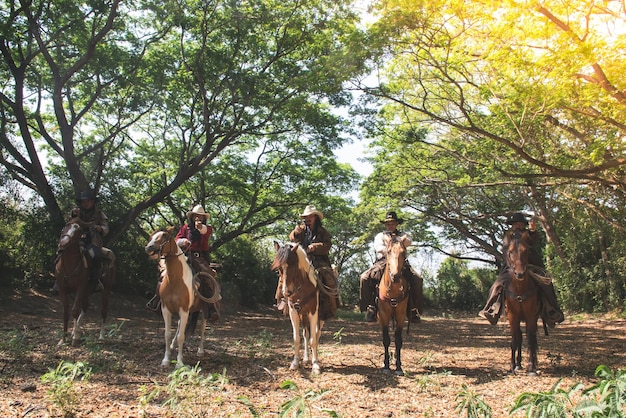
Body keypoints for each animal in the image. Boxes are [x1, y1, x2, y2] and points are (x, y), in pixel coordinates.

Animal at [144, 227, 219, 368]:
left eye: (164, 236)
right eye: (152, 236)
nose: (148, 247)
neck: (176, 279)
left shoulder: (184, 310)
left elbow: (181, 336)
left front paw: (179, 362)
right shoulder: (166, 309)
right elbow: (167, 334)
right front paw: (166, 360)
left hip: (203, 310)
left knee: (202, 328)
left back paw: (200, 351)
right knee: (179, 325)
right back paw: (173, 345)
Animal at [272, 240, 324, 374]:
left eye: (293, 266)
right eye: (279, 269)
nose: (286, 292)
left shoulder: (313, 313)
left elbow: (313, 340)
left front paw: (315, 365)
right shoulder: (294, 312)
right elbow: (297, 338)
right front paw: (295, 363)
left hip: (320, 318)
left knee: (317, 335)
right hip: (303, 316)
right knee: (306, 334)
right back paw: (305, 358)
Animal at [502, 230, 540, 378]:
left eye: (526, 251)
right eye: (510, 251)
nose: (520, 273)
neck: (520, 288)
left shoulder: (531, 316)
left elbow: (531, 341)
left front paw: (532, 367)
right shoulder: (513, 316)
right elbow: (514, 339)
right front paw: (512, 366)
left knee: (531, 338)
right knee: (519, 337)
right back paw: (518, 364)